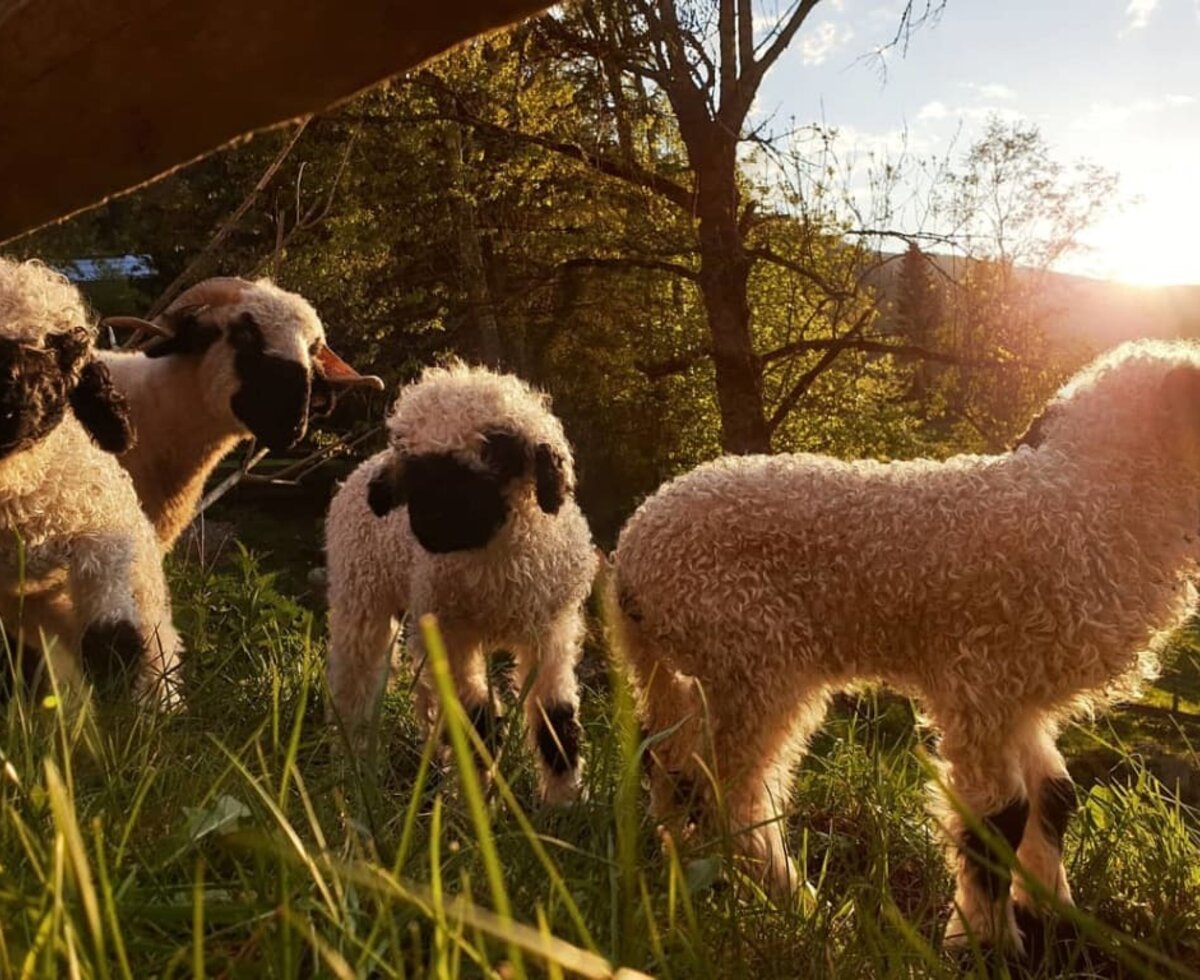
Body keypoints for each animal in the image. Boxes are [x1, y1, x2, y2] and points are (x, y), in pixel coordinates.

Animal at [324, 362, 595, 801]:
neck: (496, 569)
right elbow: (476, 723)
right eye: (413, 467)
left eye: (497, 453)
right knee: (354, 684)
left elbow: (556, 723)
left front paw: (565, 802)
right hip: (361, 598)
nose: (429, 526)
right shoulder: (453, 638)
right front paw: (476, 803)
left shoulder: (551, 633)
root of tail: (361, 467)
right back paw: (352, 770)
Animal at [609, 340, 1200, 950]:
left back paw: (684, 875)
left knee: (672, 766)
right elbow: (999, 819)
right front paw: (986, 943)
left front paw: (1052, 915)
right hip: (754, 656)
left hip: (701, 669)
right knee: (730, 796)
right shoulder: (979, 682)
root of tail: (632, 555)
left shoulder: (1021, 693)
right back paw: (809, 912)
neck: (1091, 506)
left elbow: (1054, 797)